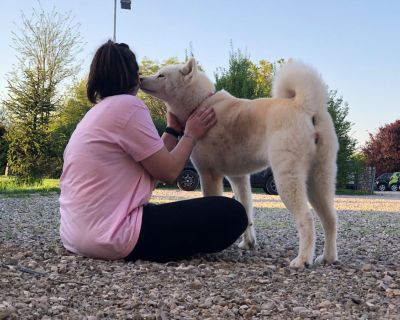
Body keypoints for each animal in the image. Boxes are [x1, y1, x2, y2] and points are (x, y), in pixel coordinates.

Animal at [139, 57, 340, 268]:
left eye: (161, 75)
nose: (141, 77)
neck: (201, 103)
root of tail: (303, 105)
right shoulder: (239, 178)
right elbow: (247, 211)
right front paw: (248, 243)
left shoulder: (208, 174)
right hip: (319, 179)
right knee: (330, 220)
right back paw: (328, 257)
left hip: (287, 180)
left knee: (306, 219)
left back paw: (302, 260)